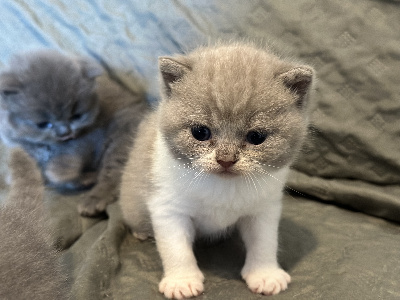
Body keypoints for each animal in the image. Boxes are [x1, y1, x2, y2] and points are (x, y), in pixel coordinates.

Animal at [0, 51, 146, 216]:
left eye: (76, 116)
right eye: (43, 124)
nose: (65, 131)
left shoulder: (92, 136)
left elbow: (70, 151)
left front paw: (60, 169)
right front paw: (82, 178)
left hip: (122, 135)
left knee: (114, 173)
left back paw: (94, 200)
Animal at [119, 43, 316, 298]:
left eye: (257, 137)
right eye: (200, 132)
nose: (226, 159)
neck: (224, 188)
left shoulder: (264, 208)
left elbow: (264, 242)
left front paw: (265, 274)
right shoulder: (168, 207)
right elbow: (176, 248)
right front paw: (182, 281)